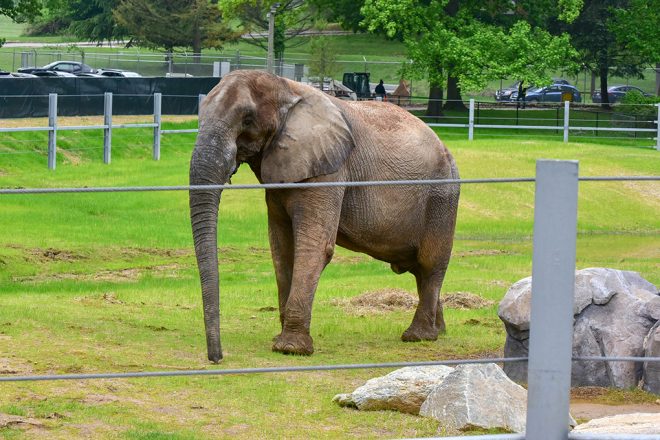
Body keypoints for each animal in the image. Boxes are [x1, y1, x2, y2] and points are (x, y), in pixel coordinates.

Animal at [191, 70, 458, 362]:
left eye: (247, 120)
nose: (217, 358)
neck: (285, 88)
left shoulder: (329, 169)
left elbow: (313, 246)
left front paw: (290, 349)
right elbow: (281, 247)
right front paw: (281, 339)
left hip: (442, 196)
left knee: (430, 263)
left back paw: (418, 336)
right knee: (420, 269)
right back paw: (439, 330)